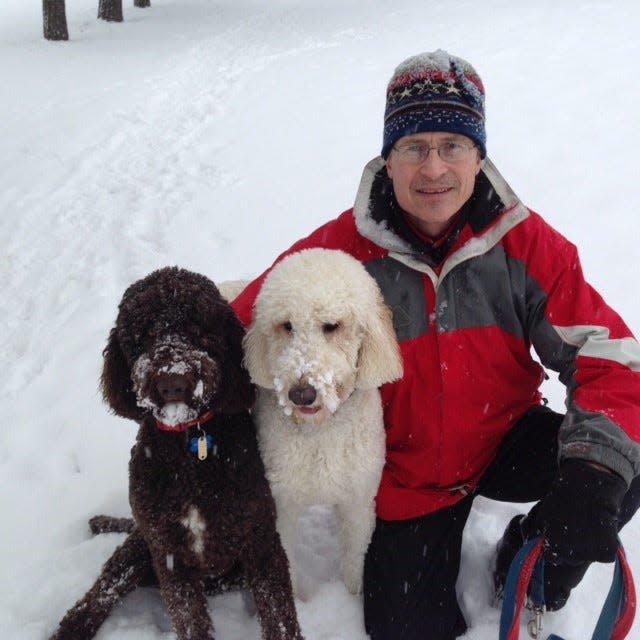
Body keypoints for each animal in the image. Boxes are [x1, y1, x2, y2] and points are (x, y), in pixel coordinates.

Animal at [242, 249, 402, 596]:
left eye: (331, 326)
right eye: (286, 325)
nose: (302, 393)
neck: (321, 431)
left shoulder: (358, 501)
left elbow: (355, 556)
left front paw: (354, 595)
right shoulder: (281, 506)